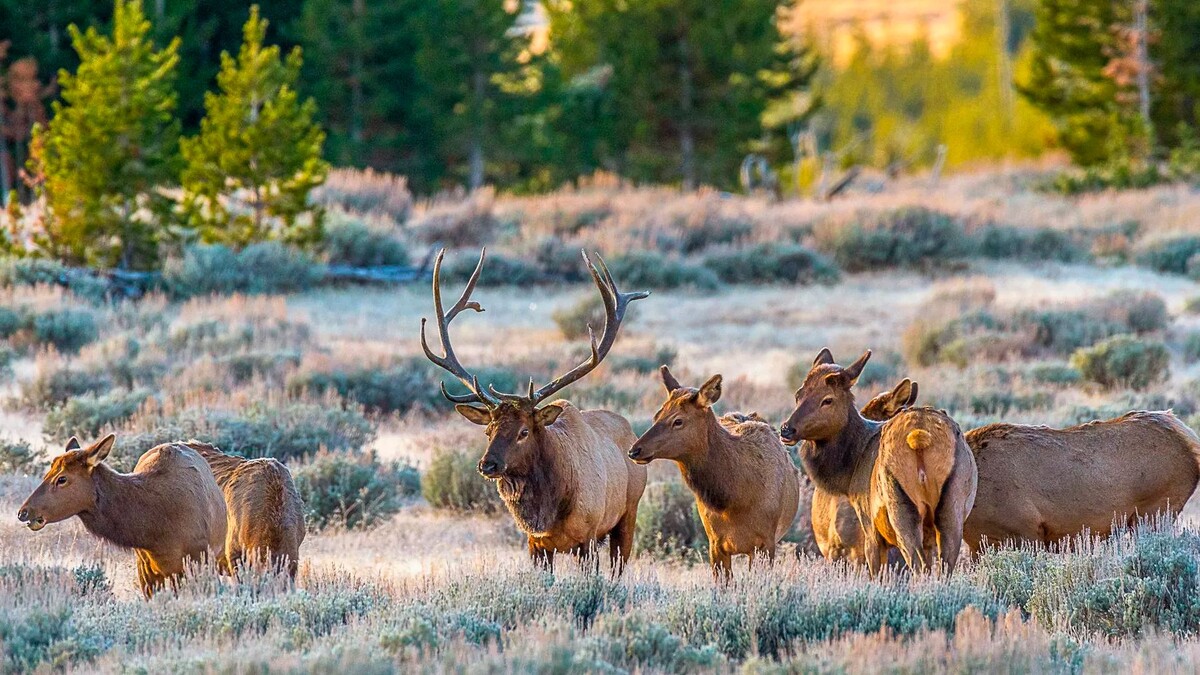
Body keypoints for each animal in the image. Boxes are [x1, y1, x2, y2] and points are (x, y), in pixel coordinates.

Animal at [422, 243, 648, 569]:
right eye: (488, 431)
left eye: (524, 432)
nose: (487, 464)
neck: (548, 514)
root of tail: (631, 433)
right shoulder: (535, 543)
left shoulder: (589, 534)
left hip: (627, 514)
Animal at [782, 348, 979, 576]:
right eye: (798, 394)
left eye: (828, 400)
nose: (787, 429)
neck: (850, 472)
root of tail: (920, 436)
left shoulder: (870, 528)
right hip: (952, 505)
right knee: (944, 566)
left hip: (899, 505)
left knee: (917, 564)